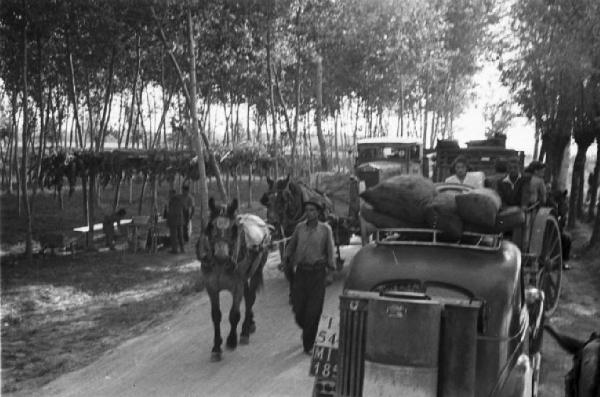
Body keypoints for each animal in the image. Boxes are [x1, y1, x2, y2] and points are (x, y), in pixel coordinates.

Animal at [197, 196, 272, 360]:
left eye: (233, 229)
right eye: (211, 227)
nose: (221, 256)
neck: (220, 266)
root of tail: (260, 220)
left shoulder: (237, 286)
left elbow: (234, 315)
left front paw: (232, 340)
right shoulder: (211, 288)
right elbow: (216, 316)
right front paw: (216, 347)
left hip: (256, 270)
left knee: (250, 299)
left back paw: (245, 330)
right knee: (248, 295)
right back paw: (250, 323)